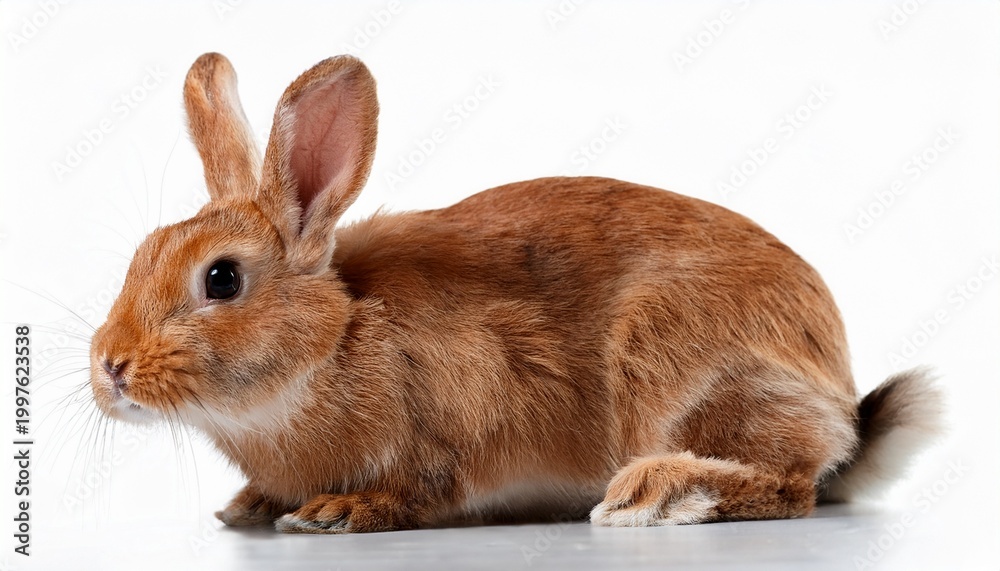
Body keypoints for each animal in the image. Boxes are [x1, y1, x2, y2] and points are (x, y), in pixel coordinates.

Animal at [88, 52, 942, 534]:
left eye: (222, 278)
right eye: (139, 255)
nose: (111, 368)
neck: (333, 341)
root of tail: (840, 402)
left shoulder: (466, 407)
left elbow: (423, 487)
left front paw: (339, 511)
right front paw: (251, 506)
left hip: (677, 370)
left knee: (790, 486)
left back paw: (656, 495)